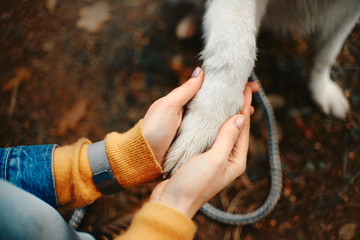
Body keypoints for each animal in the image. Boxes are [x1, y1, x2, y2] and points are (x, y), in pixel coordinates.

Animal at [163, 0, 360, 173]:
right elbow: (235, 49)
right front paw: (203, 126)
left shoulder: (346, 14)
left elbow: (326, 55)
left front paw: (322, 91)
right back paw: (189, 23)